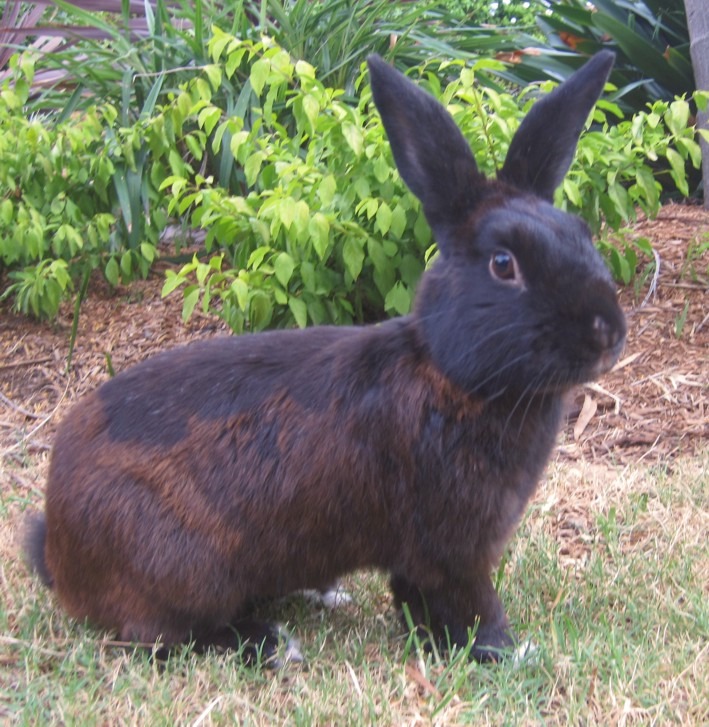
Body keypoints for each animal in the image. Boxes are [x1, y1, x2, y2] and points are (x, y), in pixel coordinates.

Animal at [25, 50, 625, 664]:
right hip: (182, 568)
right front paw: (505, 651)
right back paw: (268, 642)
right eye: (504, 264)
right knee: (162, 633)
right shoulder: (451, 550)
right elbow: (466, 603)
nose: (607, 332)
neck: (450, 376)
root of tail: (59, 548)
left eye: (581, 233)